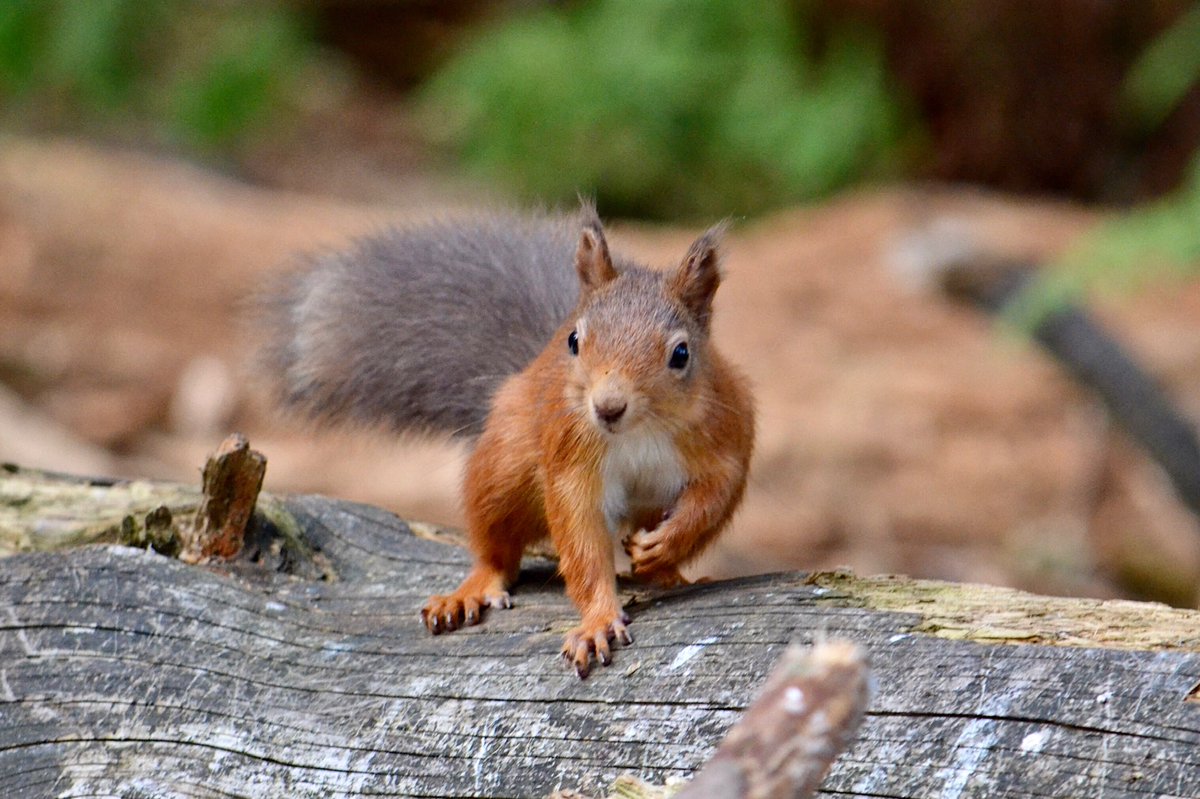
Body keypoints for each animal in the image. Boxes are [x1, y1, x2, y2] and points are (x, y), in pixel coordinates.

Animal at [256, 204, 755, 677]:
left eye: (681, 353)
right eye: (574, 342)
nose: (608, 407)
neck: (638, 433)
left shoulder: (724, 439)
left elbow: (714, 497)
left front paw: (667, 543)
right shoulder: (570, 458)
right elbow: (581, 539)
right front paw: (596, 621)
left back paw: (671, 574)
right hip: (503, 467)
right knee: (496, 549)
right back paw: (470, 590)